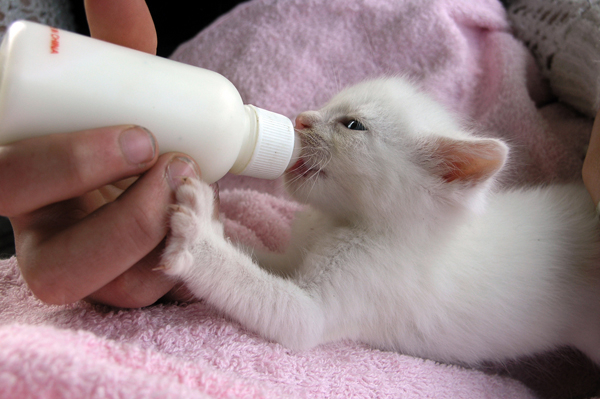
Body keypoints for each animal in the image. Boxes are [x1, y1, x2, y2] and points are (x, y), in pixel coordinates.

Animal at [162, 76, 600, 368]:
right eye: (327, 105)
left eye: (352, 124)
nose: (301, 118)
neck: (338, 222)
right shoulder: (296, 256)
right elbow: (261, 258)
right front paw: (219, 230)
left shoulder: (329, 306)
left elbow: (270, 297)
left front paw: (198, 234)